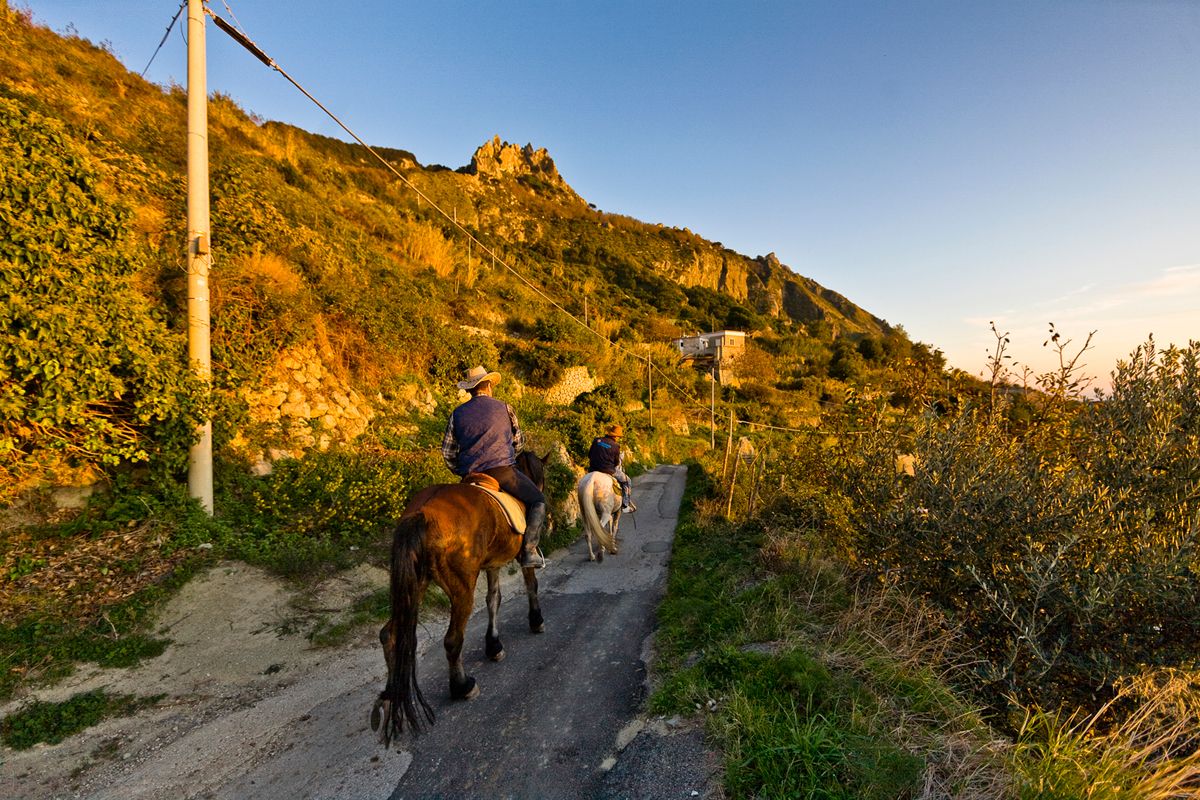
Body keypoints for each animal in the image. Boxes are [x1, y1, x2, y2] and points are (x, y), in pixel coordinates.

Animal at [369, 450, 549, 743]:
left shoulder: (492, 564)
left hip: (416, 583)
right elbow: (530, 585)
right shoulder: (521, 557)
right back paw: (462, 686)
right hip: (462, 586)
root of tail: (423, 512)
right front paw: (536, 621)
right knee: (453, 639)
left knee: (390, 634)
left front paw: (493, 645)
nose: (542, 488)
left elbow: (494, 600)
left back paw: (390, 697)